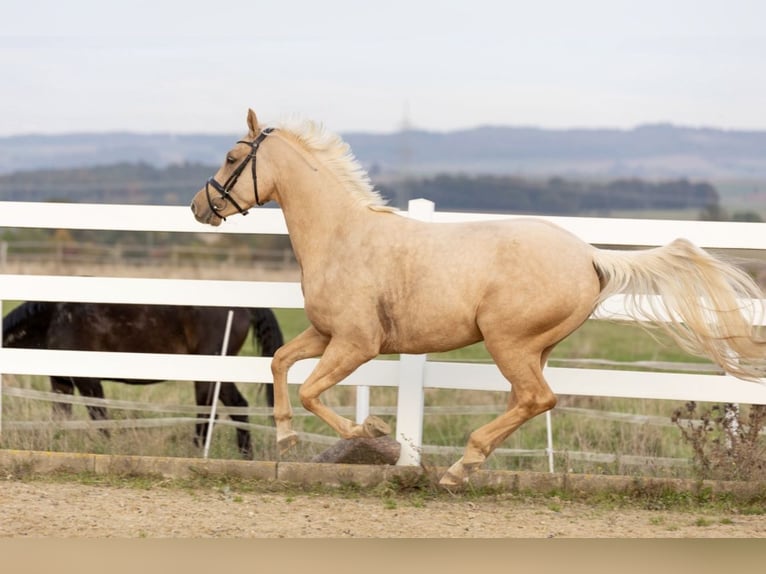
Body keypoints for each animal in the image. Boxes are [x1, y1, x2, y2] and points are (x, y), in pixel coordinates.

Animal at [1, 304, 284, 462]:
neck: (53, 319)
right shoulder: (62, 383)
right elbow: (59, 420)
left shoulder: (88, 381)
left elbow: (100, 418)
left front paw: (108, 449)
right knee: (235, 408)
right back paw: (245, 456)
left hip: (209, 376)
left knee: (210, 413)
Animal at [189, 108, 764, 486]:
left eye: (232, 157)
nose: (200, 206)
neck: (342, 236)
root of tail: (589, 255)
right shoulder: (325, 333)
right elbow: (281, 363)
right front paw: (286, 439)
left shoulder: (357, 343)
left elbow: (312, 390)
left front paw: (368, 429)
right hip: (533, 347)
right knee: (527, 400)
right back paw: (466, 465)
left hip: (508, 340)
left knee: (537, 398)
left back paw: (460, 466)